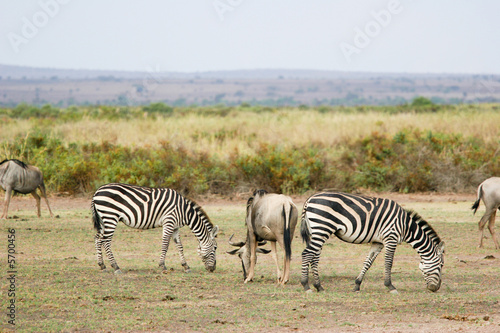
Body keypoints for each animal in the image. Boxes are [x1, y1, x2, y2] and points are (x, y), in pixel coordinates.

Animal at [91, 183, 219, 274]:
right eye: (215, 248)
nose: (213, 269)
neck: (184, 211)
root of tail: (97, 191)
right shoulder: (169, 222)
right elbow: (165, 245)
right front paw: (162, 266)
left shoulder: (175, 227)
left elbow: (180, 246)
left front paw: (186, 266)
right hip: (110, 216)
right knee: (106, 241)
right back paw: (116, 267)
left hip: (103, 219)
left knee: (98, 238)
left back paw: (102, 265)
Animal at [300, 191, 446, 292]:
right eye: (441, 265)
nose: (436, 288)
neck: (406, 226)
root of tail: (309, 199)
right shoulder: (391, 238)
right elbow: (389, 263)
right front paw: (390, 286)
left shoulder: (378, 243)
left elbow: (368, 262)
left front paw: (357, 285)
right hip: (322, 228)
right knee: (307, 254)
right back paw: (306, 286)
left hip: (317, 231)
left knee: (314, 256)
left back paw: (319, 286)